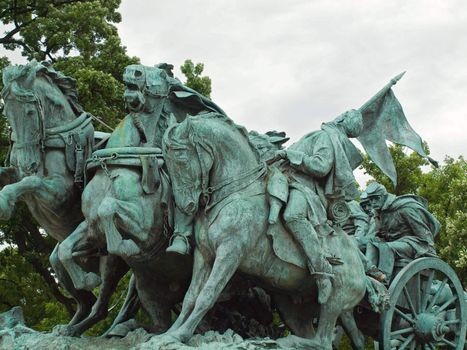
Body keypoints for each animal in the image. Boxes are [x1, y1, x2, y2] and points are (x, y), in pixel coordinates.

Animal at [163, 113, 368, 348]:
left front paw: (181, 335)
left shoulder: (230, 252)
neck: (237, 192)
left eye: (181, 160)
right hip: (292, 305)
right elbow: (190, 297)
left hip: (334, 300)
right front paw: (168, 334)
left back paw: (285, 339)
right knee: (317, 335)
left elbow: (207, 295)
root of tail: (360, 261)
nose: (186, 206)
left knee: (323, 341)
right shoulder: (203, 255)